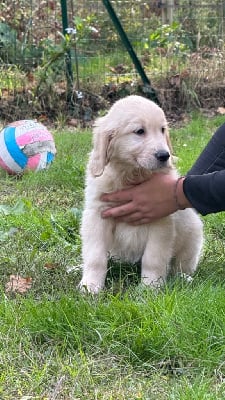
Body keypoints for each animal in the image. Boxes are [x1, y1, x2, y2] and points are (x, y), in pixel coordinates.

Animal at [79, 95, 204, 292]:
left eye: (162, 130)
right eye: (139, 131)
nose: (165, 156)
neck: (131, 176)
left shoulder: (160, 221)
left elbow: (153, 258)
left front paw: (150, 288)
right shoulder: (97, 215)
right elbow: (95, 256)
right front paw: (90, 286)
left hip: (192, 230)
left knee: (182, 264)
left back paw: (184, 278)